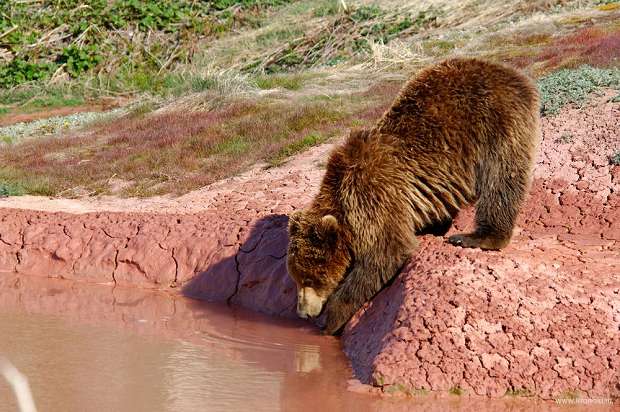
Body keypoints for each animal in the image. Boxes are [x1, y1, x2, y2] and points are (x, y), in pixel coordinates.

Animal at [286, 58, 536, 334]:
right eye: (296, 277)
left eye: (309, 278)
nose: (303, 313)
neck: (342, 199)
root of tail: (507, 71)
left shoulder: (373, 193)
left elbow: (387, 250)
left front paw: (330, 319)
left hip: (495, 122)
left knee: (501, 180)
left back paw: (475, 237)